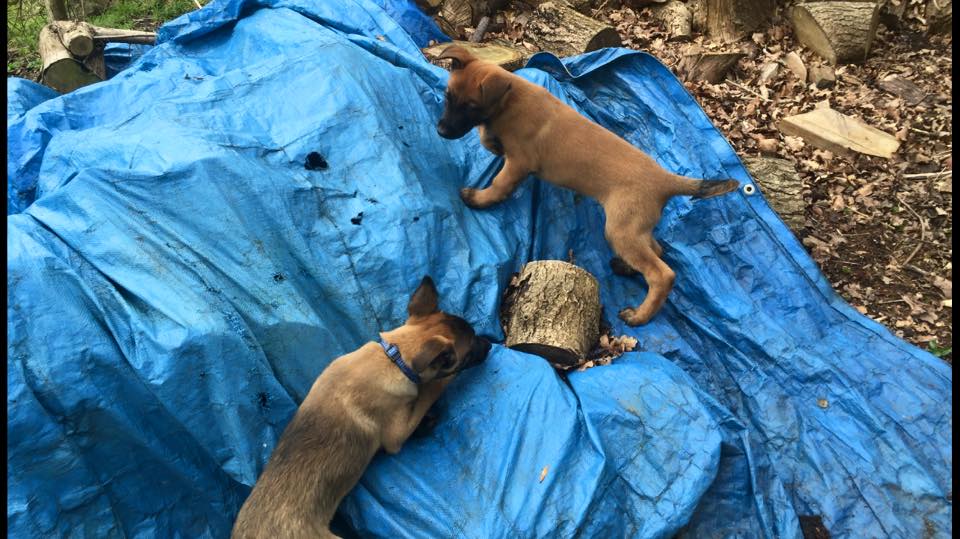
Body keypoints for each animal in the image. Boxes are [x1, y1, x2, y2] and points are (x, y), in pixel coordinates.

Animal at [231, 276, 491, 539]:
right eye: (468, 353)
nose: (491, 344)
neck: (393, 357)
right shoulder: (396, 436)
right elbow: (429, 390)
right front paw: (437, 389)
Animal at [435, 45, 740, 326]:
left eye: (471, 107)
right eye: (448, 97)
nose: (440, 131)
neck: (510, 99)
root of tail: (666, 179)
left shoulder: (519, 162)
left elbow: (499, 184)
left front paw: (479, 199)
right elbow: (488, 140)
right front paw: (491, 140)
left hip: (620, 229)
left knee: (663, 274)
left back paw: (639, 316)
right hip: (634, 227)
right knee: (657, 249)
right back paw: (626, 268)